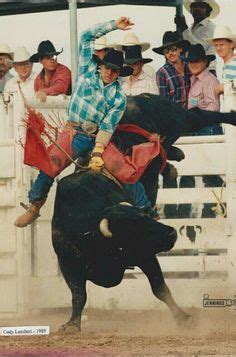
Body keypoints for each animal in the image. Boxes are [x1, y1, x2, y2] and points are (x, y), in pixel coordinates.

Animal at [51, 93, 236, 330]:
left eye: (144, 217)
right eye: (134, 229)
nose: (171, 233)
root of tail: (135, 98)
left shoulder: (145, 255)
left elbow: (160, 288)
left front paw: (184, 318)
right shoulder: (68, 264)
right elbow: (78, 295)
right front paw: (73, 324)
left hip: (177, 119)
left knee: (198, 115)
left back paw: (231, 118)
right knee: (169, 146)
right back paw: (174, 159)